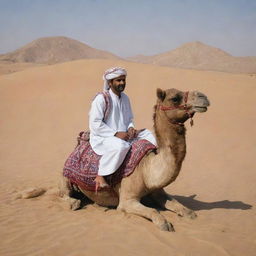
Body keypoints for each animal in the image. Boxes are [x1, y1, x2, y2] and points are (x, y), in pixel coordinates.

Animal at [59, 87, 210, 231]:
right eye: (175, 98)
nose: (204, 97)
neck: (146, 170)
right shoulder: (127, 200)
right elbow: (153, 211)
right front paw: (164, 224)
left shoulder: (158, 191)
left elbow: (179, 206)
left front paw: (190, 213)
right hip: (65, 177)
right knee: (63, 193)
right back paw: (75, 202)